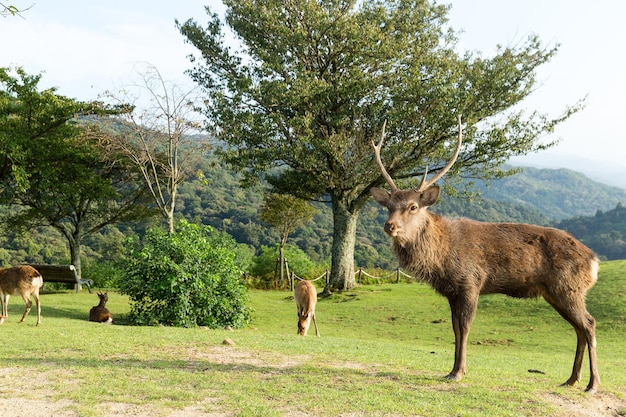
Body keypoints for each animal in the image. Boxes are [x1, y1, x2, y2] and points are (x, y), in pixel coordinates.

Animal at [368, 116, 596, 394]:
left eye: (412, 207)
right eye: (388, 206)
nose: (390, 226)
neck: (442, 258)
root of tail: (594, 261)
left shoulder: (471, 282)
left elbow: (465, 327)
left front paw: (459, 372)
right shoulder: (452, 291)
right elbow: (454, 328)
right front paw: (451, 370)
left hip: (568, 288)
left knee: (589, 324)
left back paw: (592, 384)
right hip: (556, 293)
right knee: (579, 329)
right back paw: (571, 380)